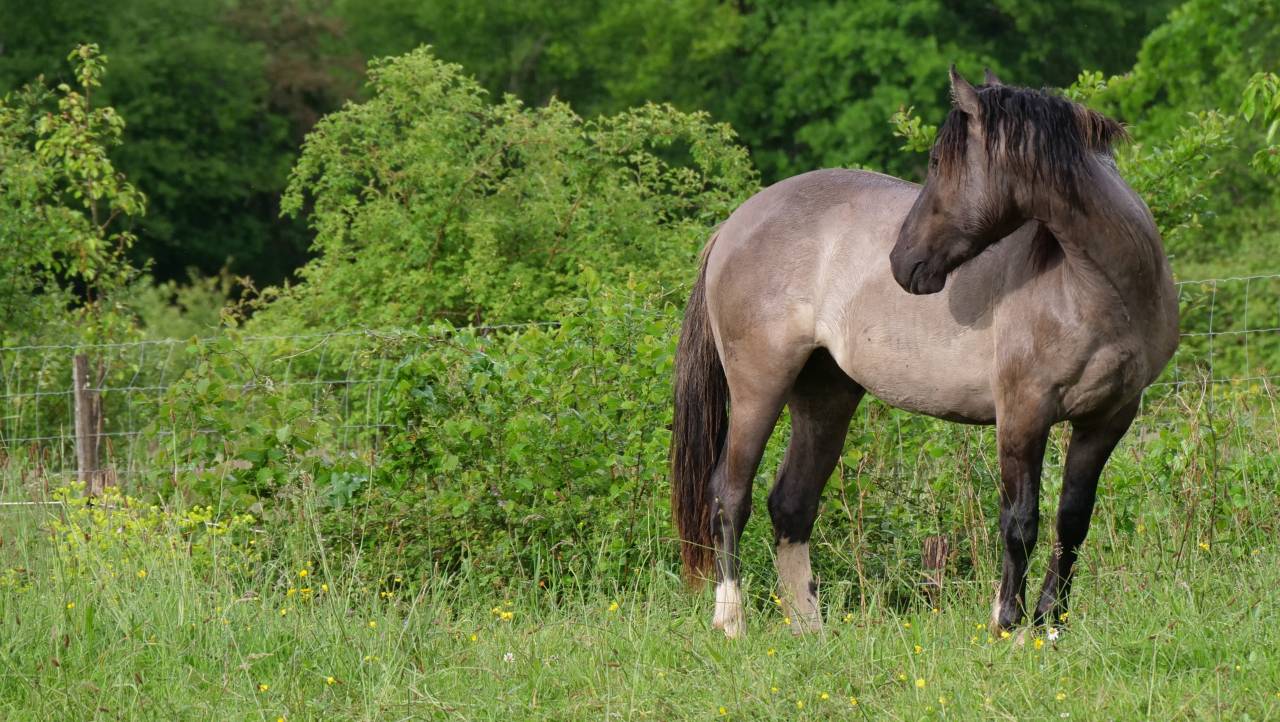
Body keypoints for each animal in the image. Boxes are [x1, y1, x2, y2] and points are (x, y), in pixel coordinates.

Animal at [670, 67, 1179, 638]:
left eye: (937, 163)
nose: (902, 261)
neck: (1095, 287)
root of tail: (734, 225)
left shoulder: (1108, 418)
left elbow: (1072, 520)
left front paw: (1051, 623)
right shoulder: (1023, 413)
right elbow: (1019, 521)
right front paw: (1008, 623)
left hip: (825, 394)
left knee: (791, 504)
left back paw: (809, 628)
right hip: (759, 386)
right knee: (729, 494)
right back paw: (731, 620)